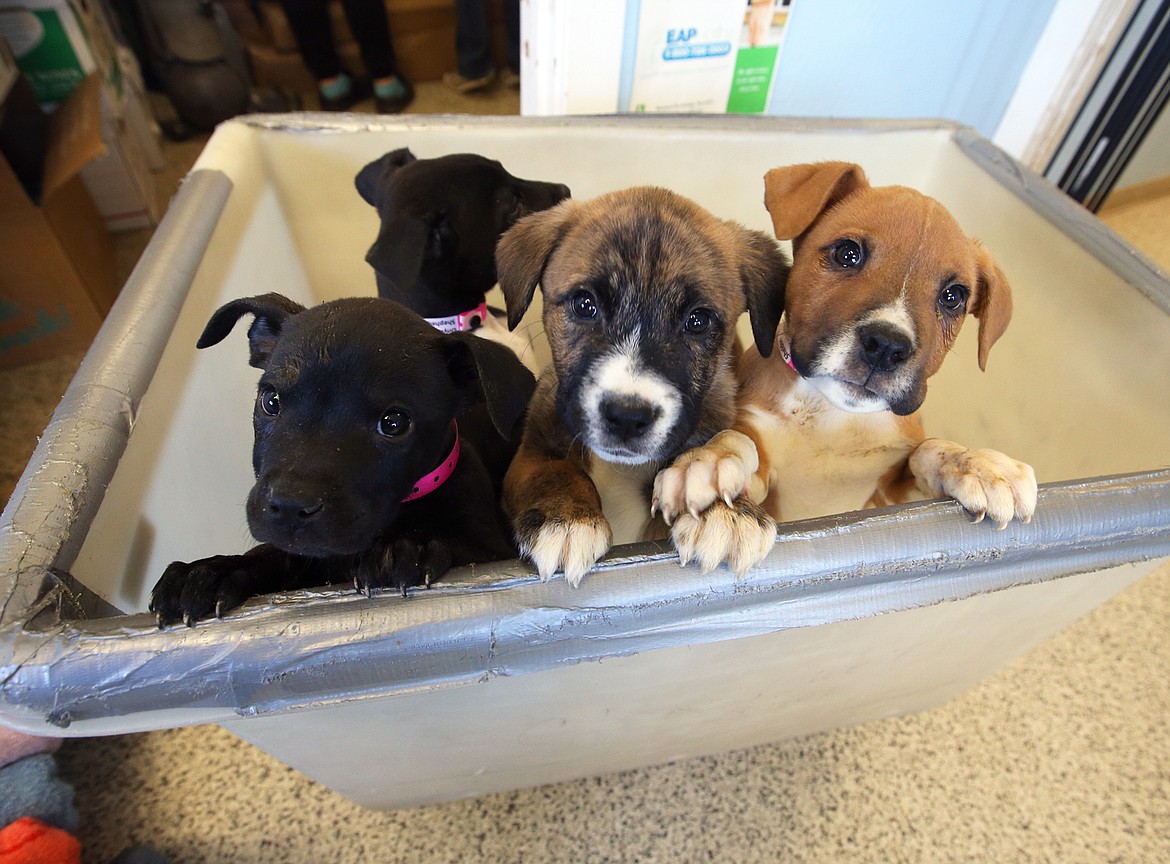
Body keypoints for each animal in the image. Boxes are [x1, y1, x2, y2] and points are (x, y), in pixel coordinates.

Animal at [148, 291, 535, 627]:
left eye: (393, 423)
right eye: (270, 401)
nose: (289, 507)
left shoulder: (492, 547)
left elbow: (458, 543)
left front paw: (412, 546)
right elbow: (277, 554)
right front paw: (211, 571)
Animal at [493, 187, 786, 585]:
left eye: (698, 320)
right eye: (584, 304)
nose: (627, 417)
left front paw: (724, 508)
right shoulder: (528, 456)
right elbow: (553, 473)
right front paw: (568, 519)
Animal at [655, 161, 1038, 571]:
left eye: (953, 296)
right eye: (847, 253)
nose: (886, 346)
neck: (833, 419)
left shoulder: (888, 501)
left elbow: (928, 449)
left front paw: (980, 465)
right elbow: (740, 440)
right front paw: (716, 483)